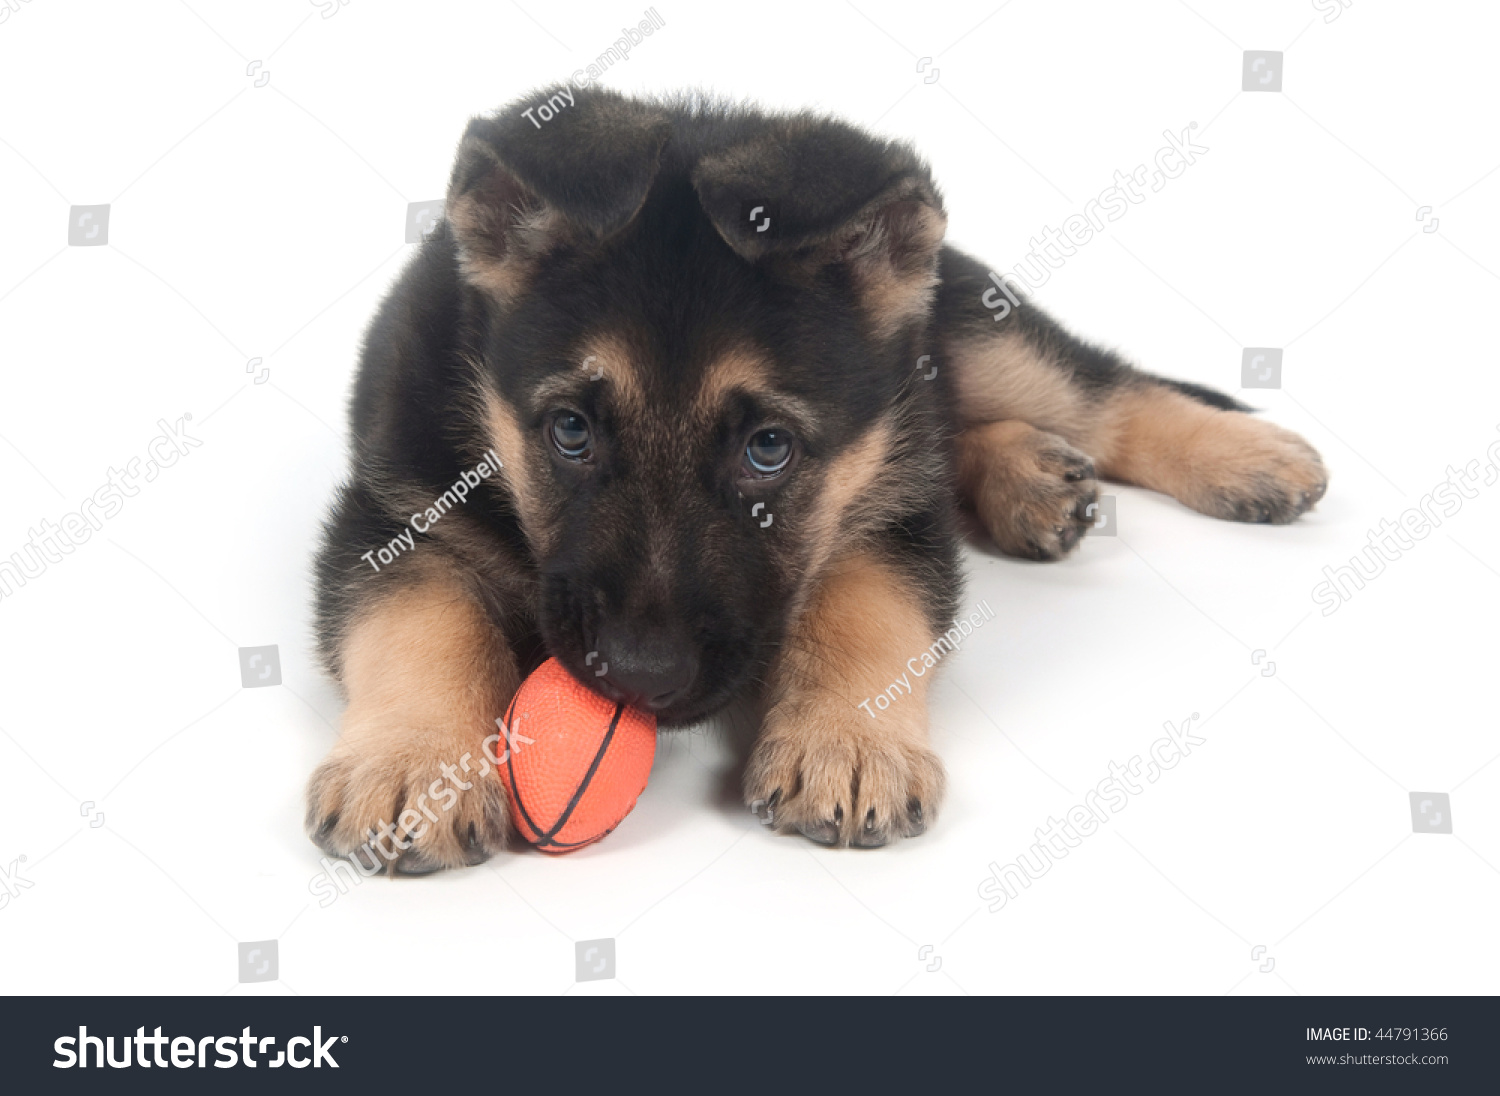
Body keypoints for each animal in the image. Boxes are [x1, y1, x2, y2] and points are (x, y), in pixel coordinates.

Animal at [301, 87, 1326, 875]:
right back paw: (1031, 477)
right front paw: (412, 766)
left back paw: (1248, 457)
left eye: (769, 449)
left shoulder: (891, 510)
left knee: (1104, 392)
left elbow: (862, 607)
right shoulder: (393, 514)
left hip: (972, 329)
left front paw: (847, 744)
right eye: (569, 432)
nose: (641, 679)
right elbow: (419, 625)